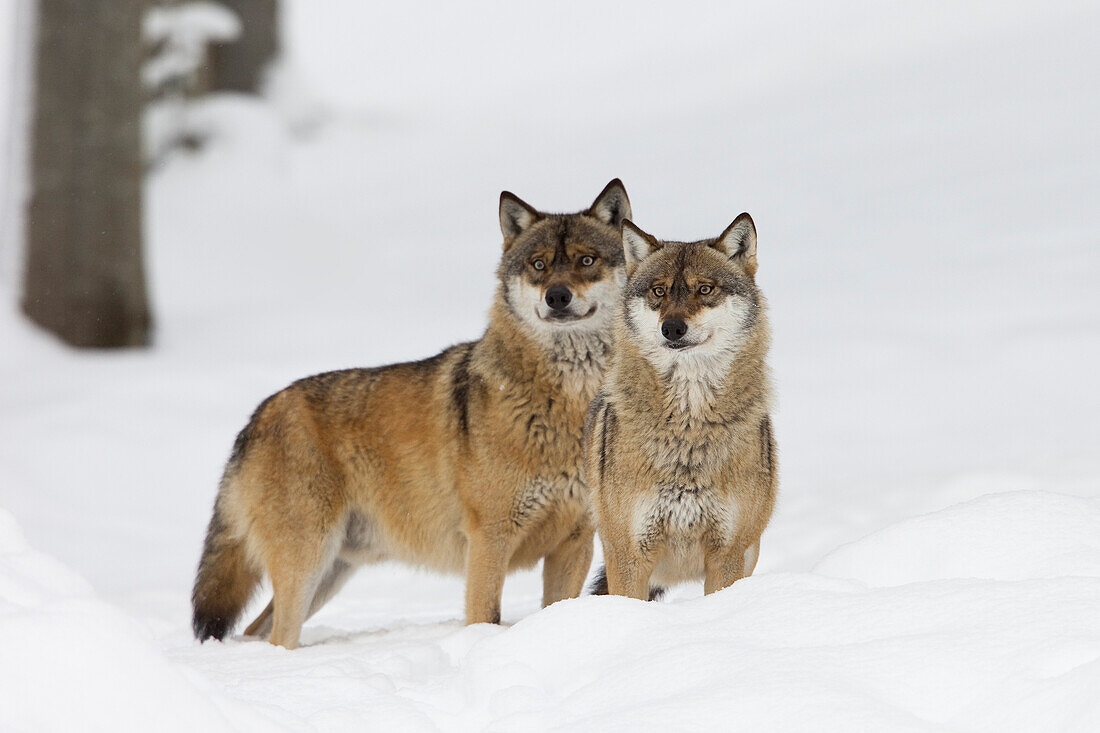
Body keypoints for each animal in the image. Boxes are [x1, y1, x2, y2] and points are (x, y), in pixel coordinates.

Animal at [193, 178, 633, 647]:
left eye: (586, 260)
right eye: (538, 265)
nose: (557, 297)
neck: (567, 401)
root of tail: (258, 414)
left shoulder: (575, 542)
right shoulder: (489, 539)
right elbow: (484, 616)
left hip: (329, 572)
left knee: (255, 630)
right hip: (307, 564)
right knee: (274, 633)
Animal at [585, 212, 774, 598]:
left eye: (705, 289)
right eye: (659, 291)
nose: (672, 328)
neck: (688, 427)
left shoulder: (727, 556)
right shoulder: (629, 556)